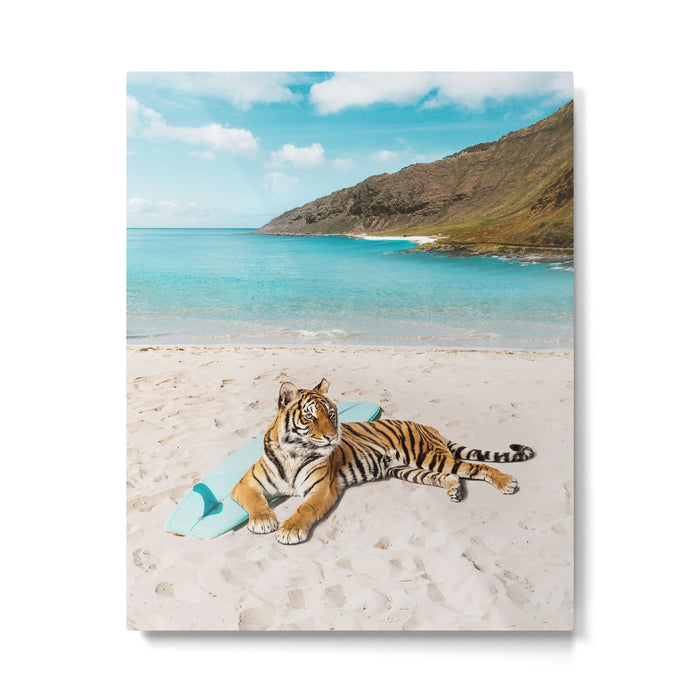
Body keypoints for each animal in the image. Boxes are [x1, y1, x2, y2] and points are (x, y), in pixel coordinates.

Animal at [231, 378, 534, 544]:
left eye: (332, 414)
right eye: (309, 416)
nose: (332, 436)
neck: (294, 452)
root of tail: (429, 427)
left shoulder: (321, 489)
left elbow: (305, 508)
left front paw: (290, 530)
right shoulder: (245, 484)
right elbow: (256, 502)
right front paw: (263, 521)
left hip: (430, 457)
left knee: (477, 467)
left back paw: (506, 483)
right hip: (408, 470)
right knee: (451, 476)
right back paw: (455, 491)